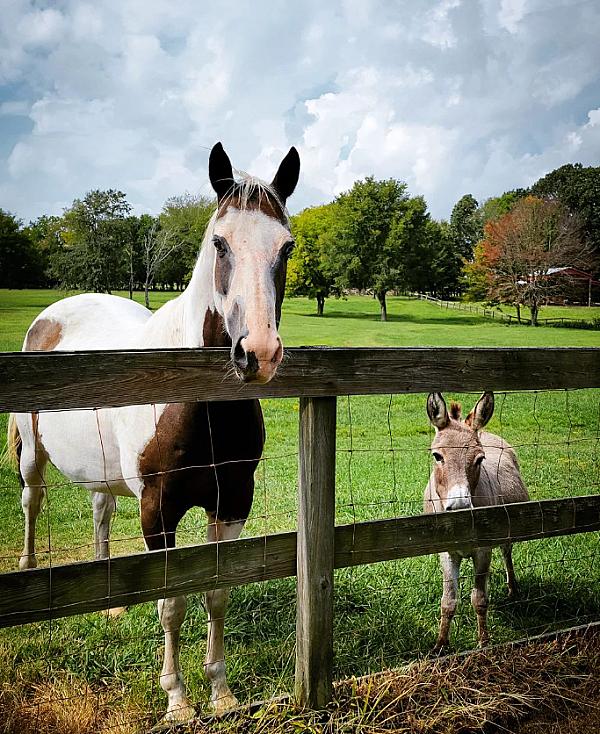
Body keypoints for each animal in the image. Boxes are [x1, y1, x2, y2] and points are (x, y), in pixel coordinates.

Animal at [7, 141, 300, 721]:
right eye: (219, 243)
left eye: (287, 247)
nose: (257, 353)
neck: (196, 404)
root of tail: (50, 316)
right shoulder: (158, 508)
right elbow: (172, 603)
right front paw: (178, 698)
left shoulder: (232, 502)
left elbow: (215, 594)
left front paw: (221, 691)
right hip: (33, 456)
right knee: (32, 500)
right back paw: (30, 566)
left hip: (102, 471)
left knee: (100, 510)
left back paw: (112, 603)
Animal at [423, 391, 529, 651]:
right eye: (437, 456)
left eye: (480, 459)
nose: (460, 506)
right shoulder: (446, 552)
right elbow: (448, 600)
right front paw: (441, 645)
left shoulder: (483, 550)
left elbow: (479, 599)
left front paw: (484, 643)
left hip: (507, 527)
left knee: (507, 553)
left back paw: (513, 588)